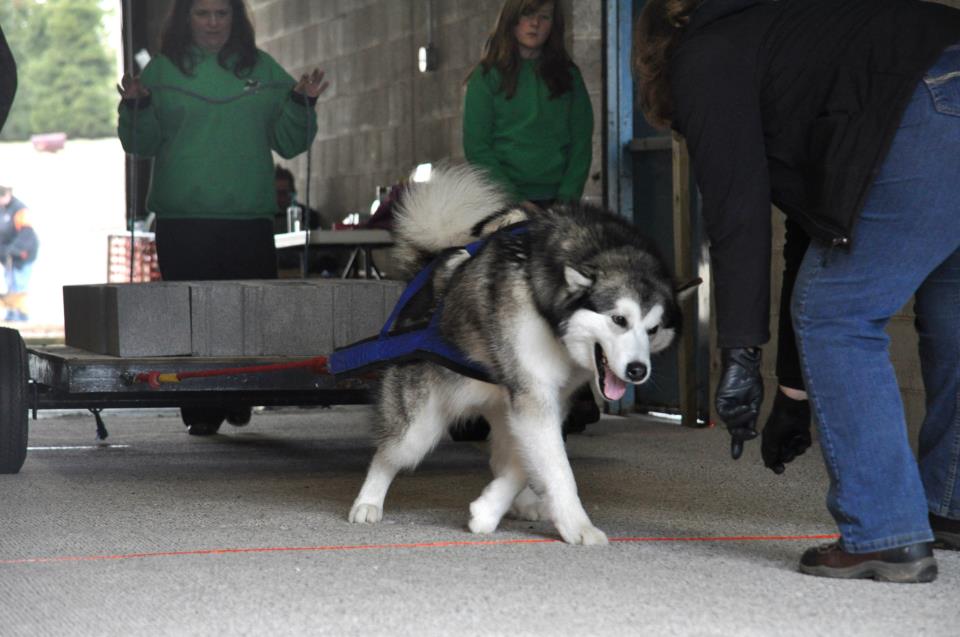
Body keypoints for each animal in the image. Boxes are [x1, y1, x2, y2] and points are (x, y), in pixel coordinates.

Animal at [348, 163, 680, 540]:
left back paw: (520, 503)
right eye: (619, 319)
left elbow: (531, 460)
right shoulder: (534, 394)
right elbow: (557, 467)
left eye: (653, 329)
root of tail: (429, 267)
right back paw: (368, 502)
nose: (638, 370)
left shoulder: (542, 400)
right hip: (419, 425)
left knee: (502, 456)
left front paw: (488, 510)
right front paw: (578, 527)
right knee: (389, 452)